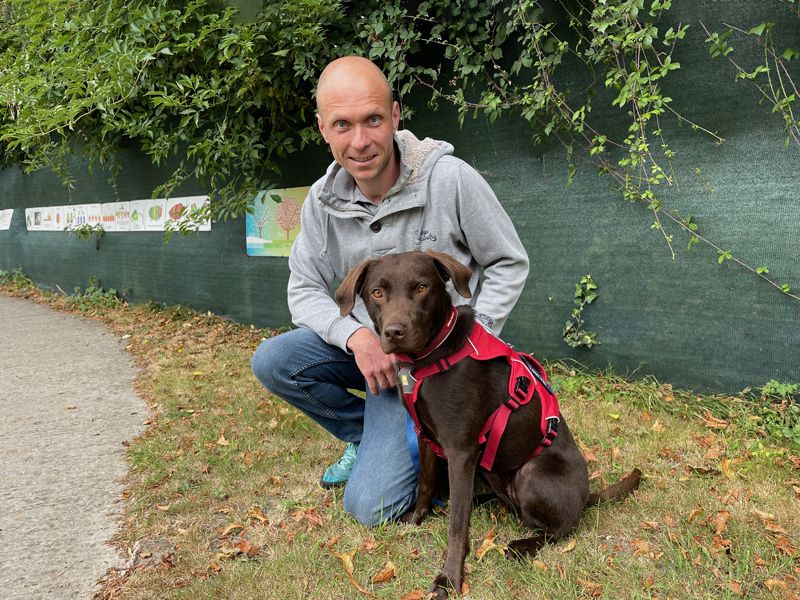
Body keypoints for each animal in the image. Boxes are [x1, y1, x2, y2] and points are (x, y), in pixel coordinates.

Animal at [334, 251, 640, 596]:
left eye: (422, 287)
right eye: (377, 292)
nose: (395, 332)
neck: (430, 356)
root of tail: (587, 496)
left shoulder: (460, 450)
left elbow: (457, 525)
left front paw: (450, 577)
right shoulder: (426, 436)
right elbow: (425, 482)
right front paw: (418, 517)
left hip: (530, 473)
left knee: (560, 529)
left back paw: (522, 545)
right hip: (488, 469)